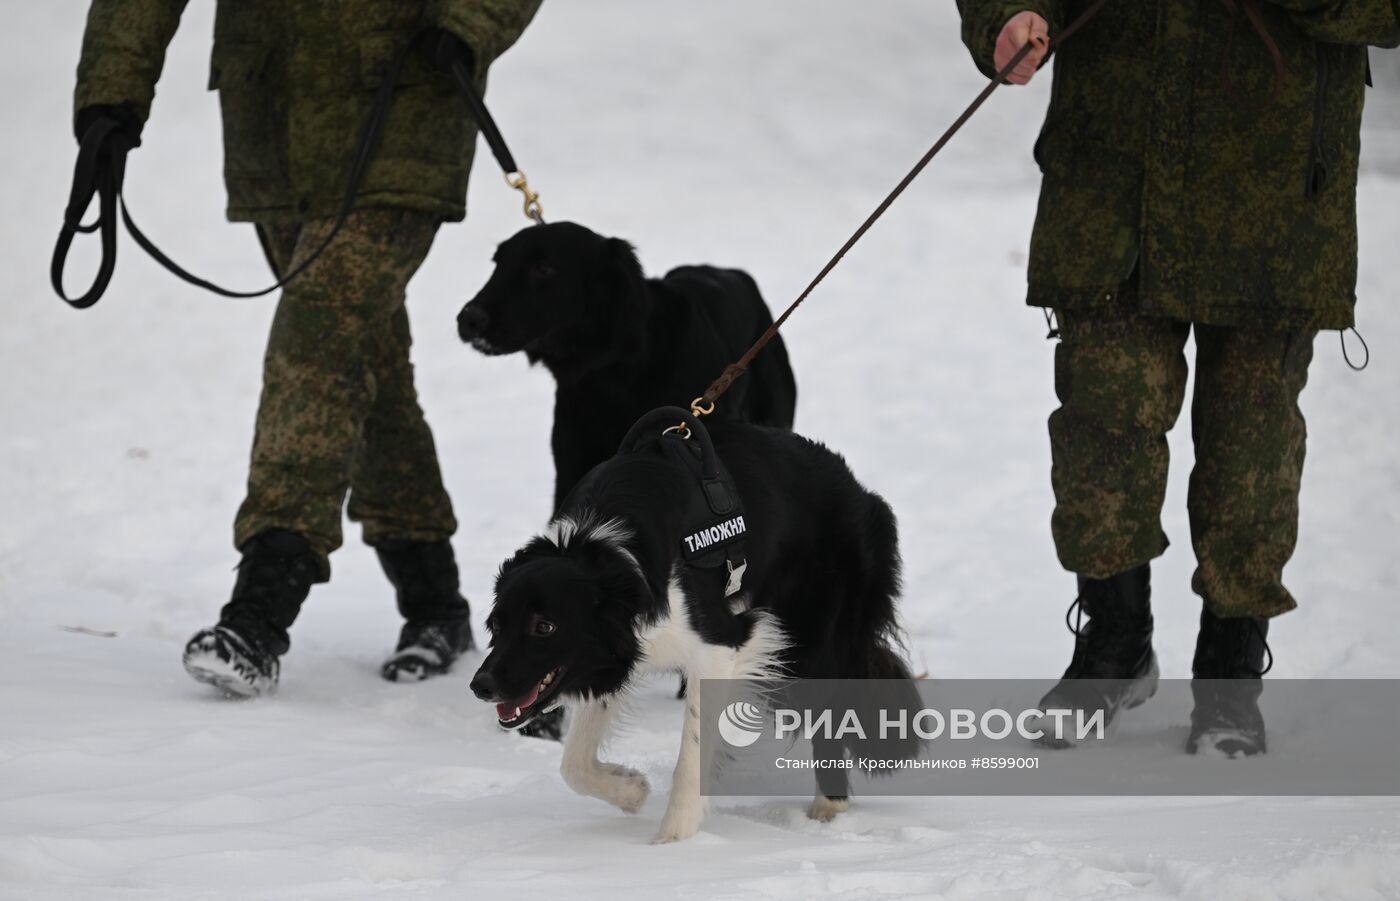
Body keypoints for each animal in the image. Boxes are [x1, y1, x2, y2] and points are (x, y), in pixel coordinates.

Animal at [464, 416, 912, 845]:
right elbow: (572, 764)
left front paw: (675, 840)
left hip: (814, 636)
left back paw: (827, 814)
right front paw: (632, 790)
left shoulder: (722, 644)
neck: (610, 556)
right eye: (496, 625)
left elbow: (692, 751)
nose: (480, 686)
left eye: (544, 626)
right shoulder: (612, 653)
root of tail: (859, 490)